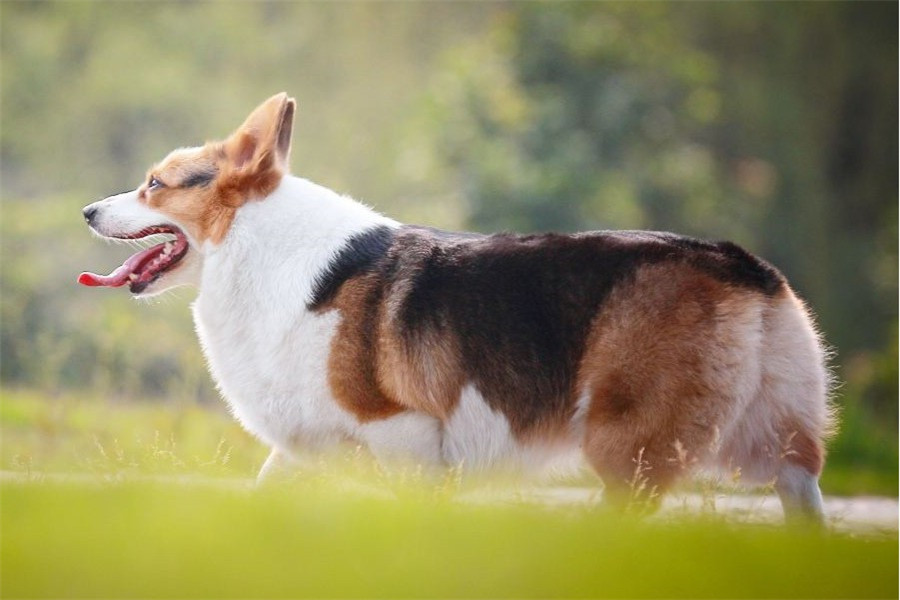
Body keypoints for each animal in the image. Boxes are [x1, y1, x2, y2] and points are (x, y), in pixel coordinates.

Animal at [81, 91, 832, 524]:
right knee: (804, 500)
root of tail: (739, 263)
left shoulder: (404, 435)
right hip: (781, 448)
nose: (87, 209)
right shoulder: (303, 453)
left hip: (625, 448)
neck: (256, 244)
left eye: (153, 186)